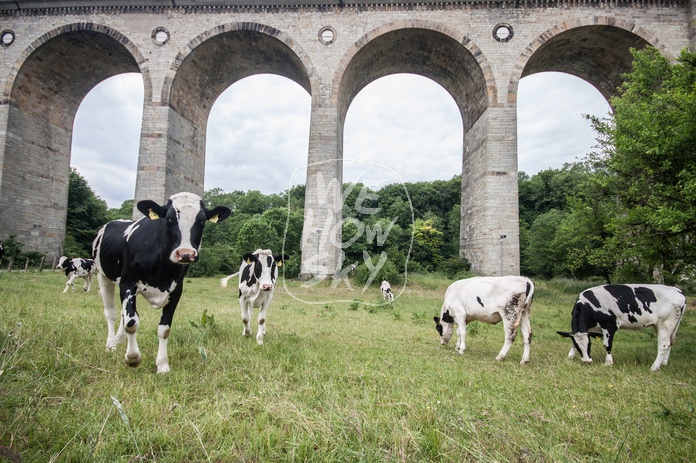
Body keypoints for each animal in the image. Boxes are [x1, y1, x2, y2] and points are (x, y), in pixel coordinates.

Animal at [89, 192, 230, 374]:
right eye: (169, 218)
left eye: (202, 221)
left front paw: (162, 364)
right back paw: (111, 345)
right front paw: (132, 357)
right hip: (103, 275)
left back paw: (120, 339)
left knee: (121, 313)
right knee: (111, 313)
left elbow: (164, 329)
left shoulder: (176, 290)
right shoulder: (127, 283)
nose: (185, 254)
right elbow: (131, 322)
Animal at [556, 282, 684, 374]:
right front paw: (570, 356)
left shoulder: (610, 325)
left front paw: (608, 363)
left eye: (589, 344)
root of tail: (677, 290)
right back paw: (664, 363)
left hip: (665, 324)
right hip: (660, 325)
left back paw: (654, 367)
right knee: (670, 342)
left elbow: (607, 345)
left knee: (663, 345)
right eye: (578, 345)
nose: (587, 361)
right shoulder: (588, 329)